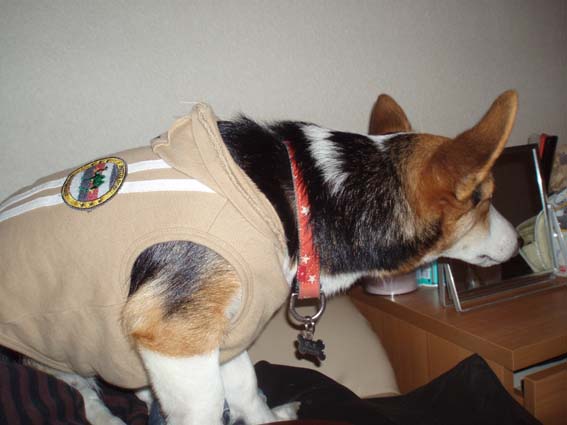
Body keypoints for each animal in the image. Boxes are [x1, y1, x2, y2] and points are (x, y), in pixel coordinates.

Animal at [0, 90, 519, 424]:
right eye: (483, 197)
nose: (516, 242)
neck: (300, 201)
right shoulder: (178, 338)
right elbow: (207, 408)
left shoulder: (227, 335)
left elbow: (248, 392)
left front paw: (268, 416)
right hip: (51, 348)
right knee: (82, 391)